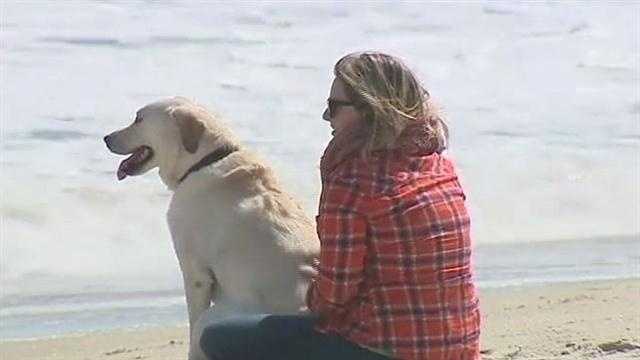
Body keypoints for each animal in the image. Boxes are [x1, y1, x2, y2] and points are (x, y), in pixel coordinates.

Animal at [104, 97, 320, 358]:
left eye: (139, 119)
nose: (106, 138)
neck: (203, 161)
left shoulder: (195, 273)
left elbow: (192, 319)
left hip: (214, 319)